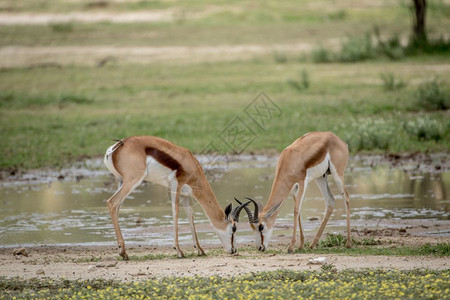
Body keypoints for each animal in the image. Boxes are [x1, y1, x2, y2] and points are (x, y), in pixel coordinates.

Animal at [103, 137, 250, 260]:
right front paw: (179, 251)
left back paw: (123, 252)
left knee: (117, 207)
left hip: (121, 181)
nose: (234, 250)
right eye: (234, 228)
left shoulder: (185, 195)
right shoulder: (176, 186)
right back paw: (123, 252)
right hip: (133, 181)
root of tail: (117, 146)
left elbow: (190, 215)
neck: (190, 164)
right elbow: (176, 213)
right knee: (111, 203)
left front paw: (200, 250)